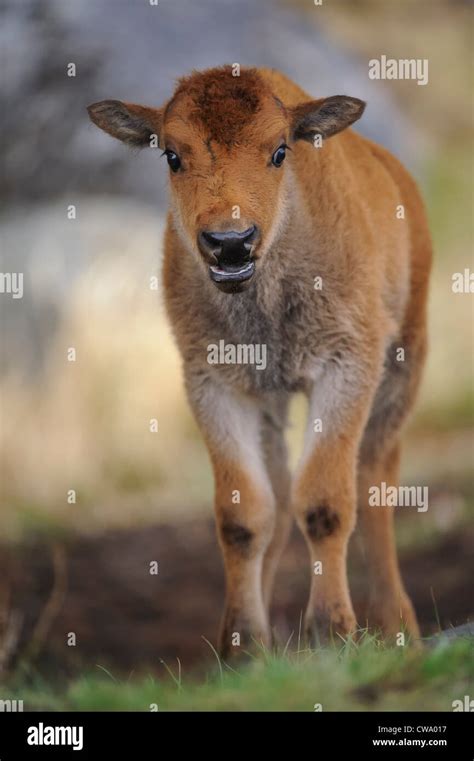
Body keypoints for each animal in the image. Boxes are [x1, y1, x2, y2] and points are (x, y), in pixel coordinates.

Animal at [87, 65, 432, 656]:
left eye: (279, 151)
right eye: (171, 155)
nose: (230, 243)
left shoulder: (347, 365)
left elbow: (325, 501)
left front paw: (333, 632)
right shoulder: (216, 383)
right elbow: (245, 514)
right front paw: (242, 648)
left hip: (403, 366)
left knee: (374, 479)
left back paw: (396, 627)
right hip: (274, 401)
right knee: (278, 490)